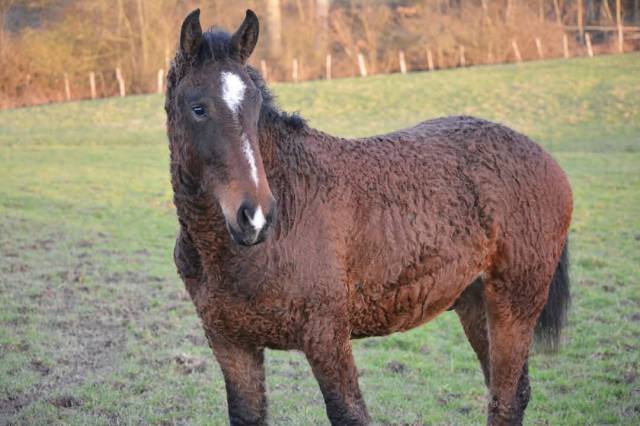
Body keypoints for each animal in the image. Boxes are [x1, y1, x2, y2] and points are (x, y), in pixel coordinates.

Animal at [168, 9, 572, 426]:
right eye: (198, 108)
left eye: (254, 108)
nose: (256, 216)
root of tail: (545, 157)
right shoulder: (232, 346)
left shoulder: (326, 336)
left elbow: (349, 413)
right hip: (476, 304)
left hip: (515, 306)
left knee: (506, 399)